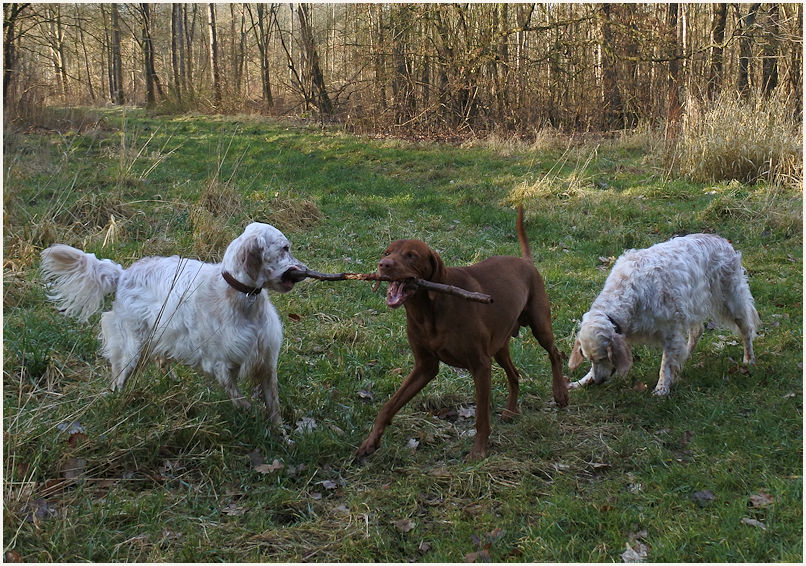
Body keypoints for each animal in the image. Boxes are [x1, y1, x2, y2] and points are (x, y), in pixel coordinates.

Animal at [40, 222, 307, 428]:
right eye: (285, 248)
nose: (304, 270)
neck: (242, 298)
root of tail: (123, 274)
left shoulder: (266, 359)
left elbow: (274, 406)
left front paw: (282, 437)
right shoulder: (219, 363)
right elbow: (240, 399)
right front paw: (252, 414)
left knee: (161, 360)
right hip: (132, 348)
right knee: (118, 378)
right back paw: (118, 399)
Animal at [355, 207, 568, 461]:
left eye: (411, 255)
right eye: (387, 252)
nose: (383, 264)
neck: (428, 311)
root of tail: (525, 261)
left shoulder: (480, 365)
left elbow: (481, 417)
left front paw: (478, 452)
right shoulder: (425, 366)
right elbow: (389, 405)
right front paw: (370, 442)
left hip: (539, 325)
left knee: (555, 353)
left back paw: (560, 393)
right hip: (500, 347)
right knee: (515, 375)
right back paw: (511, 410)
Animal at [568, 233, 759, 396]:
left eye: (603, 358)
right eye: (589, 359)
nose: (598, 381)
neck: (629, 293)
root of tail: (722, 240)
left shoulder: (670, 329)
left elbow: (665, 363)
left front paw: (661, 388)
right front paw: (582, 381)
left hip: (732, 301)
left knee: (747, 330)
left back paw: (749, 359)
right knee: (697, 331)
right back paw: (686, 354)